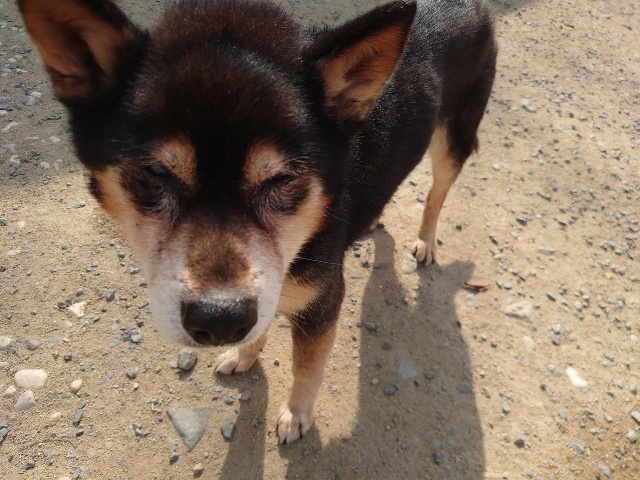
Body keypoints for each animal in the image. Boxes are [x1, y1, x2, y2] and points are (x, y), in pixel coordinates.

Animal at [18, 0, 496, 443]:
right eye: (155, 172)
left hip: (453, 141)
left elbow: (307, 369)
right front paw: (245, 353)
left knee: (436, 194)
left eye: (281, 179)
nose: (219, 321)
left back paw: (426, 240)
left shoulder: (322, 301)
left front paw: (296, 415)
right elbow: (261, 322)